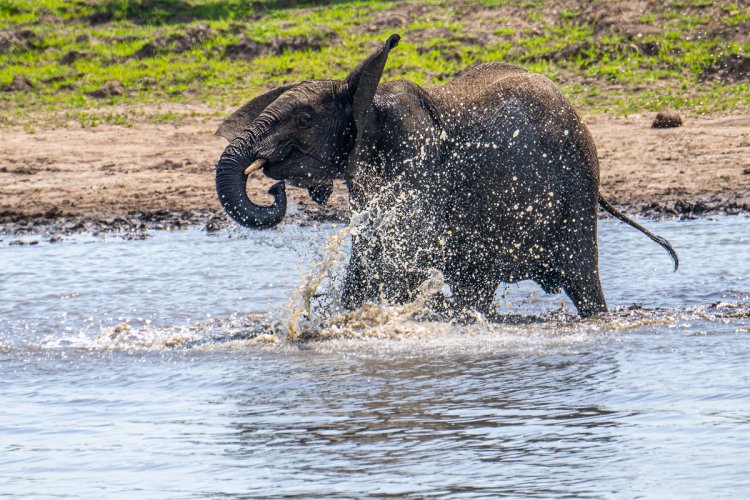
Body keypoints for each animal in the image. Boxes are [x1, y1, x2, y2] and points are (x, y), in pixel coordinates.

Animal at [214, 34, 680, 316]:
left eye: (304, 120)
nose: (274, 187)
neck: (368, 98)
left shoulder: (416, 167)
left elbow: (398, 262)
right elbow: (368, 258)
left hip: (576, 194)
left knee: (579, 280)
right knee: (478, 284)